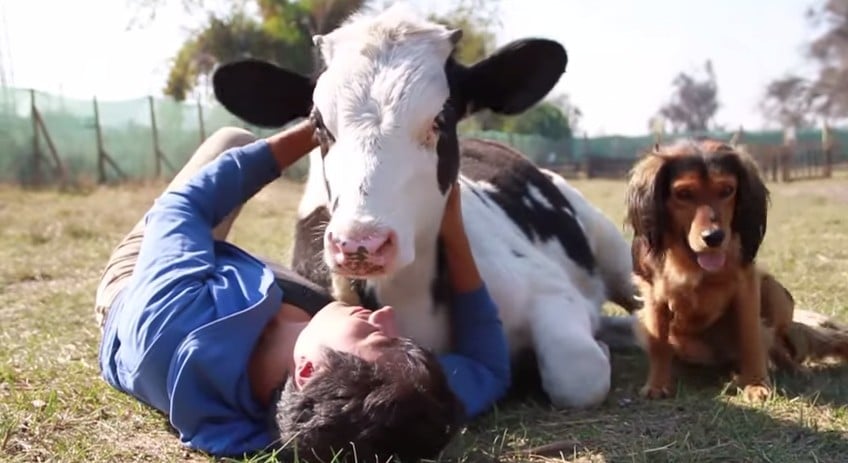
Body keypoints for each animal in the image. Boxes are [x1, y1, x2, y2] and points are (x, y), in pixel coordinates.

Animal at [212, 3, 639, 409]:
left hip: (613, 248)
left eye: (442, 117)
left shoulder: (549, 289)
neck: (409, 293)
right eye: (318, 123)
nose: (360, 244)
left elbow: (576, 371)